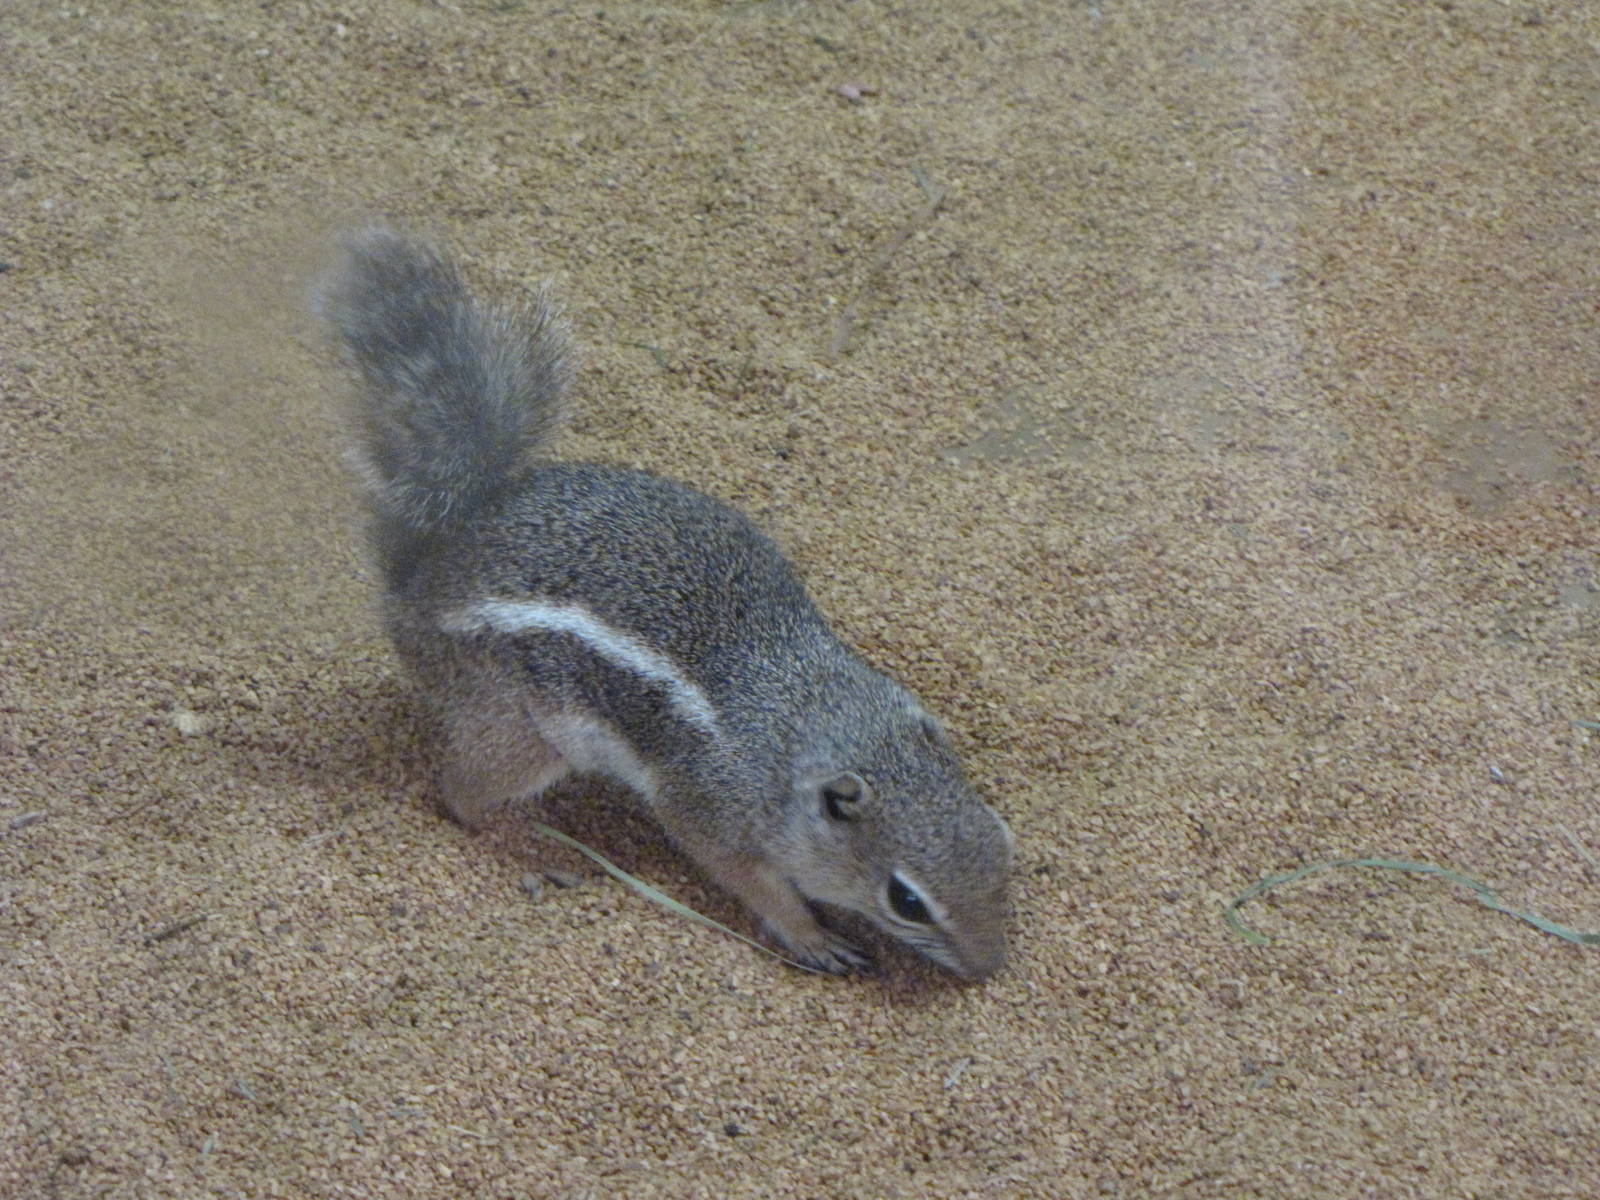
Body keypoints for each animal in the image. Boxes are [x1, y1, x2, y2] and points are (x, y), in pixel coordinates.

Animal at [314, 225, 1013, 978]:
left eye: (1002, 842)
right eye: (906, 899)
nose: (988, 967)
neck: (812, 724)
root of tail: (425, 566)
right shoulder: (708, 808)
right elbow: (746, 877)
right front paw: (811, 935)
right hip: (513, 728)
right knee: (460, 795)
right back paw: (536, 846)